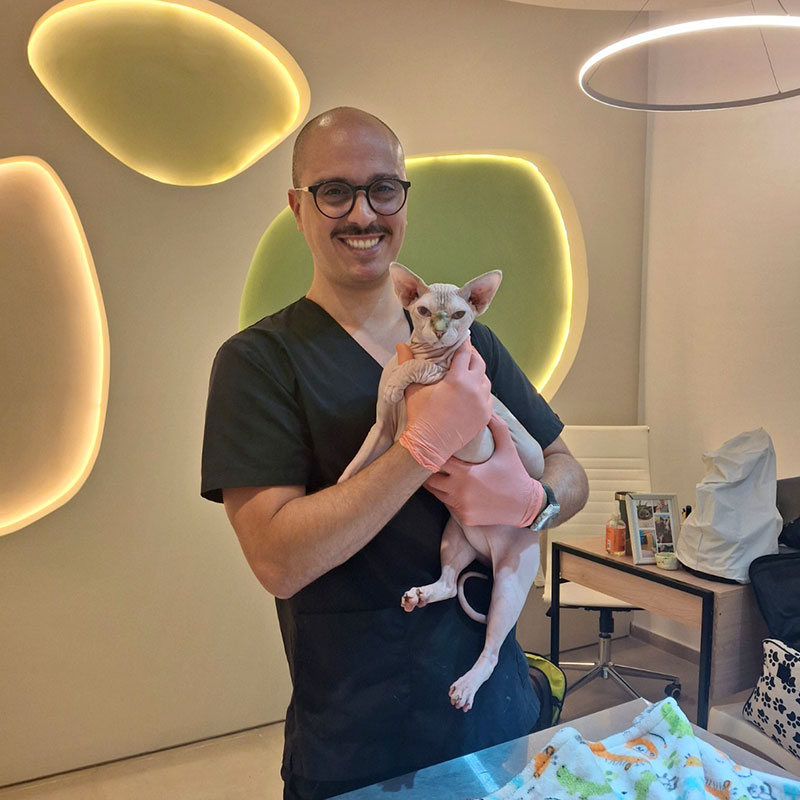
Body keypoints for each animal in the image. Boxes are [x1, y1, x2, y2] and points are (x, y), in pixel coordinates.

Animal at [339, 262, 545, 712]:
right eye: (422, 310)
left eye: (460, 315)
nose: (438, 331)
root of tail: (487, 554)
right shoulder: (384, 432)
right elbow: (359, 460)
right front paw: (339, 485)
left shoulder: (477, 430)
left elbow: (420, 372)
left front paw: (407, 375)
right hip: (454, 537)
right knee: (450, 584)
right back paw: (420, 595)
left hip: (509, 582)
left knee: (492, 650)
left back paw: (466, 687)